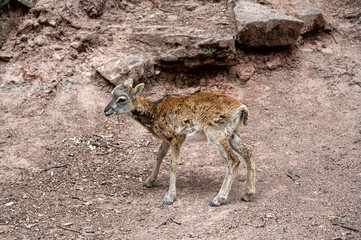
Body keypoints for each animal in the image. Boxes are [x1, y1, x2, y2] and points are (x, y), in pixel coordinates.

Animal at [104, 79, 255, 206]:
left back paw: (218, 199)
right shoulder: (166, 139)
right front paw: (148, 182)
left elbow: (173, 164)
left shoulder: (177, 137)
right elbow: (159, 155)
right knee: (249, 153)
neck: (154, 113)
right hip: (232, 134)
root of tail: (241, 109)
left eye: (122, 99)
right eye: (111, 95)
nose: (106, 110)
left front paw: (169, 197)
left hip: (216, 134)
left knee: (233, 160)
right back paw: (247, 194)